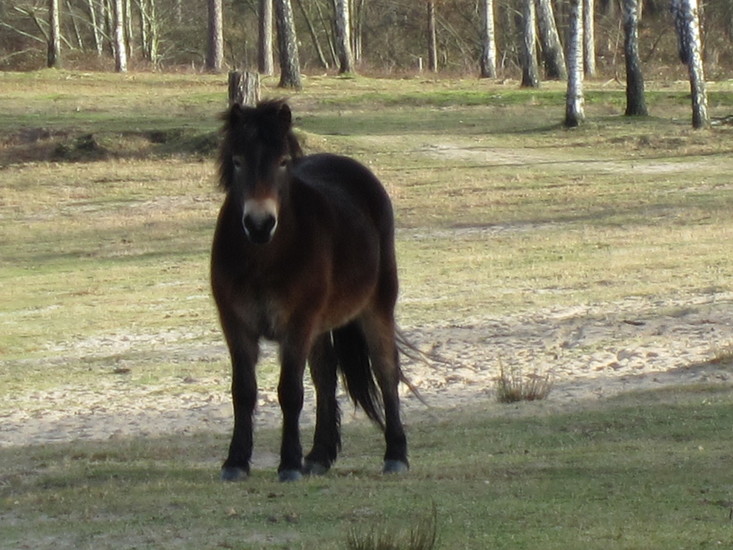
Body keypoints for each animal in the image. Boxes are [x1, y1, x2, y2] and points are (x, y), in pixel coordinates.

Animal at [211, 99, 410, 482]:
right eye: (238, 161)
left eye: (282, 161)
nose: (259, 224)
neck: (263, 257)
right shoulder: (236, 325)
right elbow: (243, 391)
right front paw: (236, 462)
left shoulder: (297, 325)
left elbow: (290, 392)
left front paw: (289, 463)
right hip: (320, 325)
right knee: (325, 377)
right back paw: (319, 455)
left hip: (376, 306)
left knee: (385, 371)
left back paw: (396, 454)